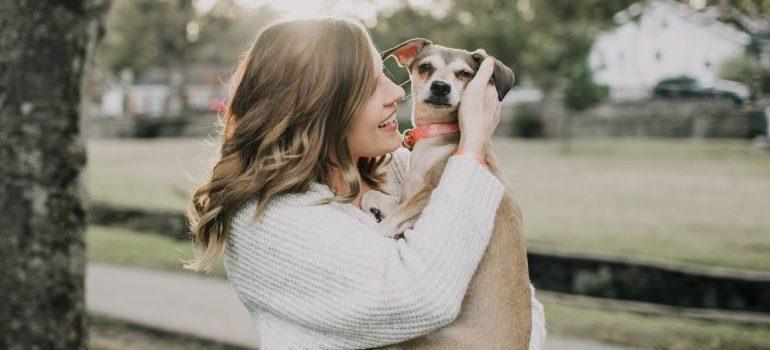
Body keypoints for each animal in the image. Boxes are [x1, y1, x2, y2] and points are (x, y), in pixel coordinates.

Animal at [360, 39, 536, 350]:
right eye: (425, 67)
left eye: (464, 74)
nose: (441, 87)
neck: (437, 136)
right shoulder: (408, 197)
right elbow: (378, 199)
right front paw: (374, 206)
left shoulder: (428, 196)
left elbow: (390, 222)